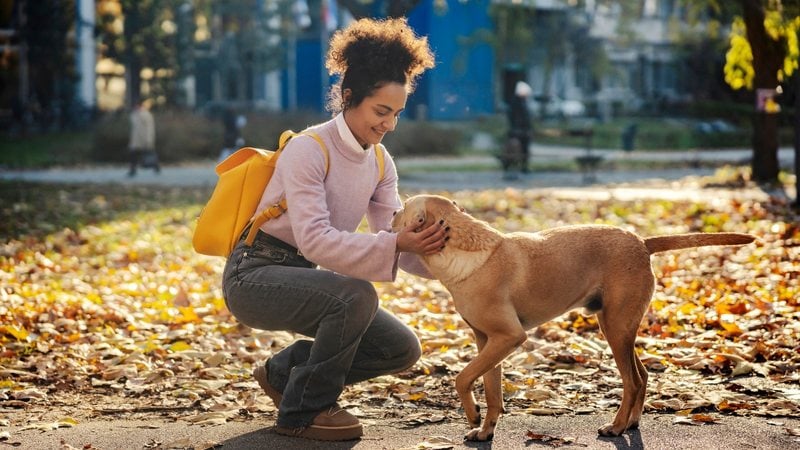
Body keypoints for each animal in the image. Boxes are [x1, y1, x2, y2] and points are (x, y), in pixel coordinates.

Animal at [394, 193, 756, 440]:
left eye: (404, 209)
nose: (393, 211)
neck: (464, 247)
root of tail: (641, 242)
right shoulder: (488, 341)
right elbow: (490, 389)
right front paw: (484, 430)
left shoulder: (509, 337)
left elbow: (462, 378)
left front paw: (472, 415)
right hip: (619, 327)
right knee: (641, 377)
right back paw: (631, 422)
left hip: (615, 327)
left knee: (632, 381)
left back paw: (616, 427)